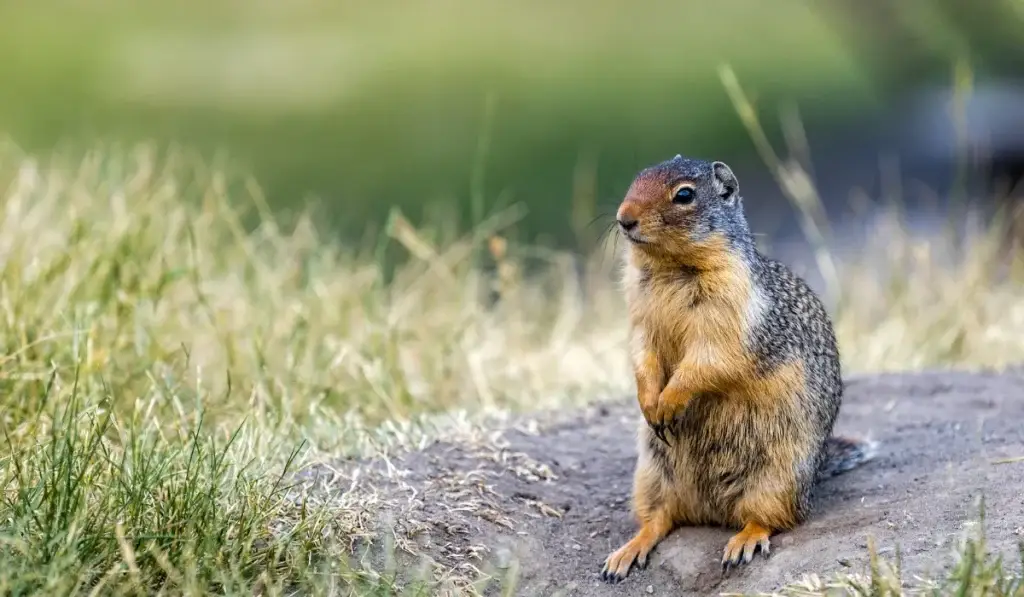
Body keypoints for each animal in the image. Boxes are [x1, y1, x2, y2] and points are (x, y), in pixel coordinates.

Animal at [599, 154, 877, 583]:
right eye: (637, 179)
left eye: (684, 194)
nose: (623, 218)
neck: (669, 268)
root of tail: (711, 512)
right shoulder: (639, 318)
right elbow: (642, 355)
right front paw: (649, 401)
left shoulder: (730, 316)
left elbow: (709, 360)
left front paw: (670, 400)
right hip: (650, 477)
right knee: (659, 520)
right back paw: (626, 553)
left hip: (778, 479)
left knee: (771, 519)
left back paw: (743, 543)